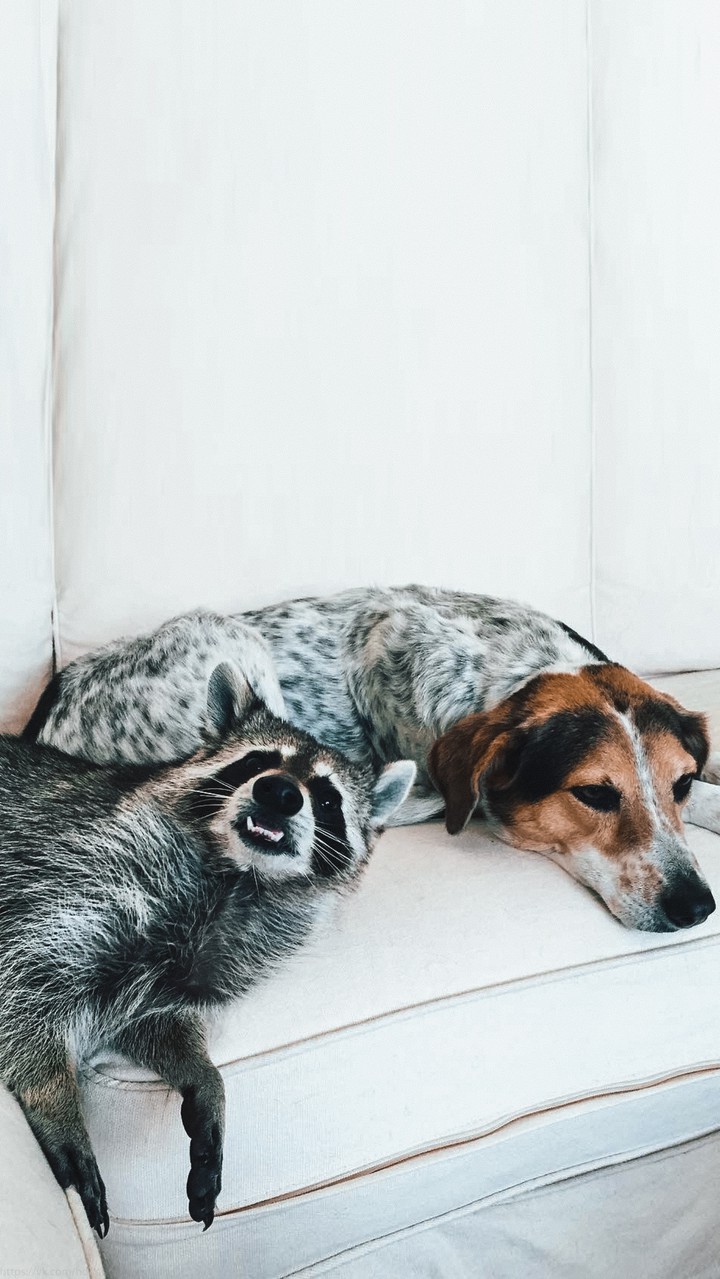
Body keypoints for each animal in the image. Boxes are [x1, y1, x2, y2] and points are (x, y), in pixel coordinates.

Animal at [0, 663, 415, 1236]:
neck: (239, 878)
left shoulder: (197, 969)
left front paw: (205, 1077)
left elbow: (156, 1024)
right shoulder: (76, 874)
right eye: (258, 762)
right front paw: (54, 1099)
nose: (279, 793)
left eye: (327, 797)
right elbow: (27, 983)